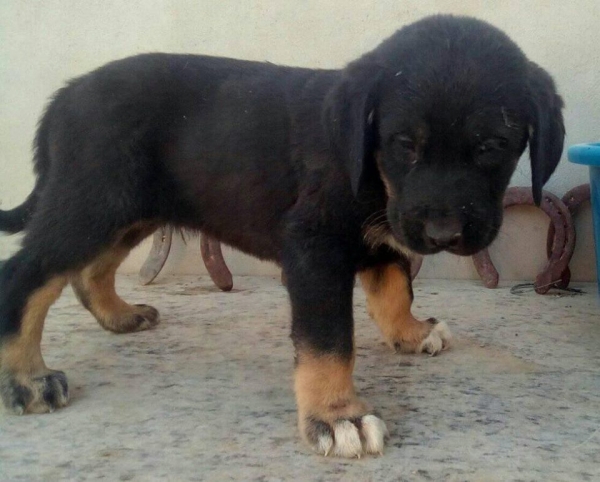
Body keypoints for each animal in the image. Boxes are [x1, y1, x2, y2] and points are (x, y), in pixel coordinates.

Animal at [1, 16, 564, 460]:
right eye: (404, 143)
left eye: (493, 146)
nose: (442, 234)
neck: (367, 164)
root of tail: (64, 95)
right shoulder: (314, 248)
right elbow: (329, 340)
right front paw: (337, 416)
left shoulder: (385, 230)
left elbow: (394, 288)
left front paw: (408, 332)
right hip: (96, 201)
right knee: (27, 274)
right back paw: (28, 378)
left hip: (131, 209)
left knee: (89, 269)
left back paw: (119, 315)